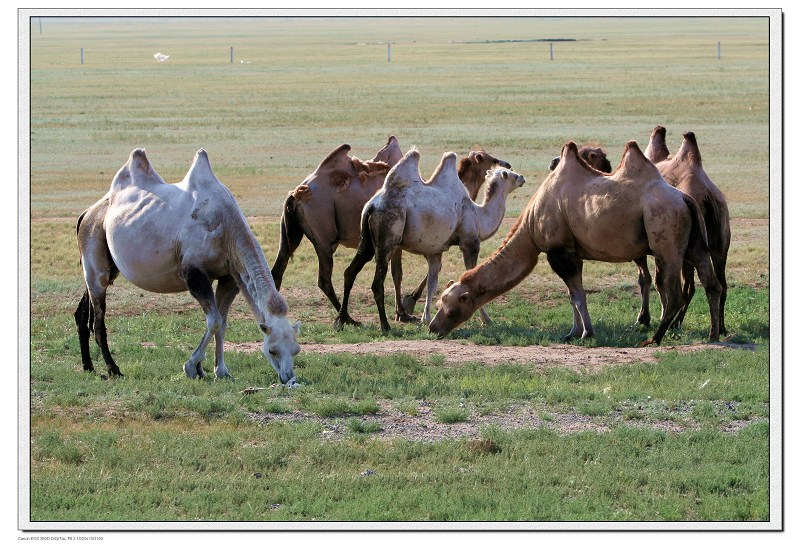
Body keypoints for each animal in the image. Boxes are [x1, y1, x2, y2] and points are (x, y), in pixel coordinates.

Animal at [76, 148, 300, 384]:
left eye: (296, 350)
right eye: (272, 350)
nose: (289, 378)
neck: (225, 227)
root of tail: (87, 214)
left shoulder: (229, 275)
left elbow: (222, 323)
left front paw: (220, 371)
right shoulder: (194, 273)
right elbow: (214, 321)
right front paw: (191, 367)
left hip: (108, 266)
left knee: (84, 311)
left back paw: (88, 366)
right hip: (93, 249)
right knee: (98, 319)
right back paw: (113, 369)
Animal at [336, 148, 528, 332]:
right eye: (511, 174)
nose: (522, 177)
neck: (479, 215)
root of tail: (372, 205)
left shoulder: (436, 250)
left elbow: (432, 282)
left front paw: (426, 319)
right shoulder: (470, 243)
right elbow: (472, 277)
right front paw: (486, 320)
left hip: (367, 240)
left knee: (350, 272)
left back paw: (342, 320)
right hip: (387, 236)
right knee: (377, 282)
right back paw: (385, 325)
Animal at [432, 141, 724, 346]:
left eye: (452, 308)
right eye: (438, 305)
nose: (432, 327)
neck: (530, 225)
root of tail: (685, 199)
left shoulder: (558, 251)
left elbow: (578, 296)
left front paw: (586, 334)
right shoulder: (574, 252)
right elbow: (573, 295)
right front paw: (572, 332)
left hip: (665, 238)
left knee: (672, 290)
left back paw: (655, 337)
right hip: (694, 243)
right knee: (711, 283)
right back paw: (713, 333)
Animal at [636, 127, 732, 336]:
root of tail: (708, 196)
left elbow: (655, 280)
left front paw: (645, 318)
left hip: (688, 245)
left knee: (690, 286)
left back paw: (675, 323)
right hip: (720, 239)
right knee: (720, 283)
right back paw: (720, 328)